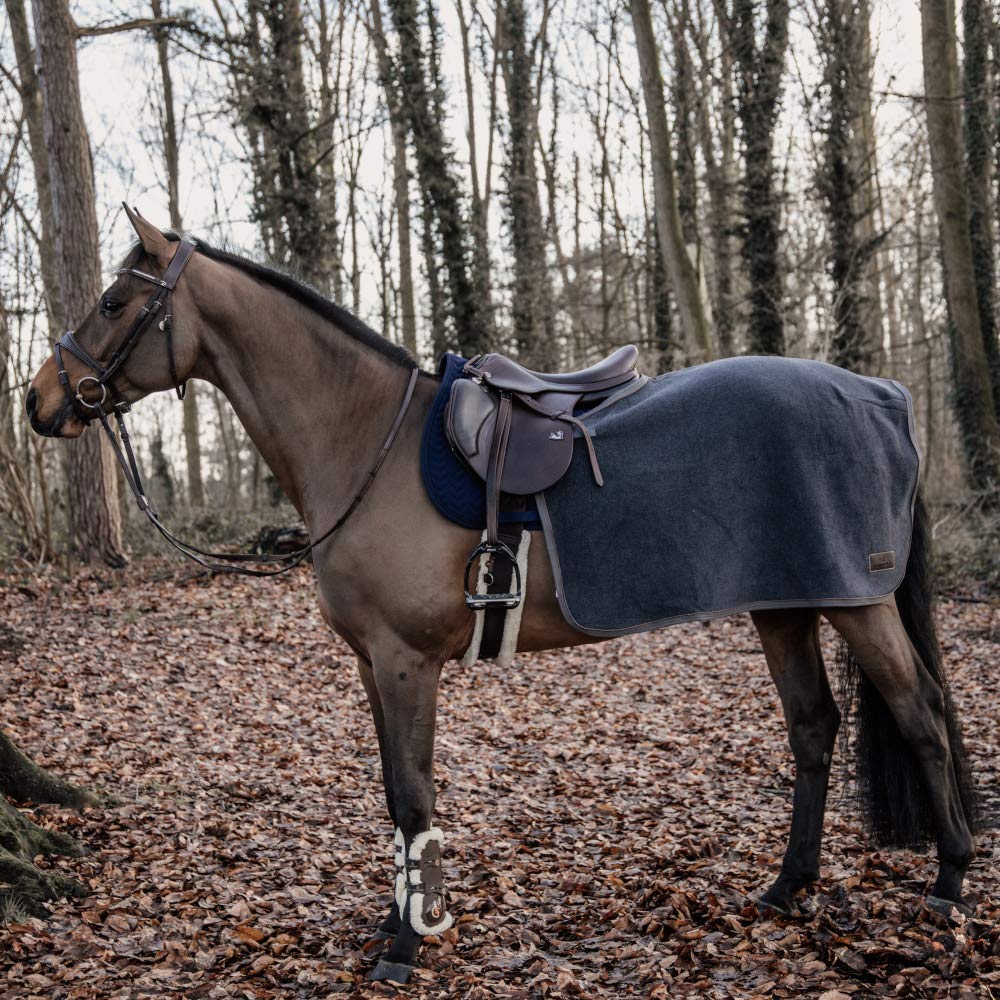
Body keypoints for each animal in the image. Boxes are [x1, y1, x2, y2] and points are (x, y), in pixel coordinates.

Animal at [25, 210, 979, 984]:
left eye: (114, 301)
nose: (37, 401)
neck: (367, 440)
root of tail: (882, 395)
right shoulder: (372, 664)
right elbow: (393, 793)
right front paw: (402, 922)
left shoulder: (407, 661)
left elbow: (413, 794)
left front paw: (406, 949)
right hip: (784, 602)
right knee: (815, 726)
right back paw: (788, 886)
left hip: (857, 600)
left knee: (924, 713)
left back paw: (950, 881)